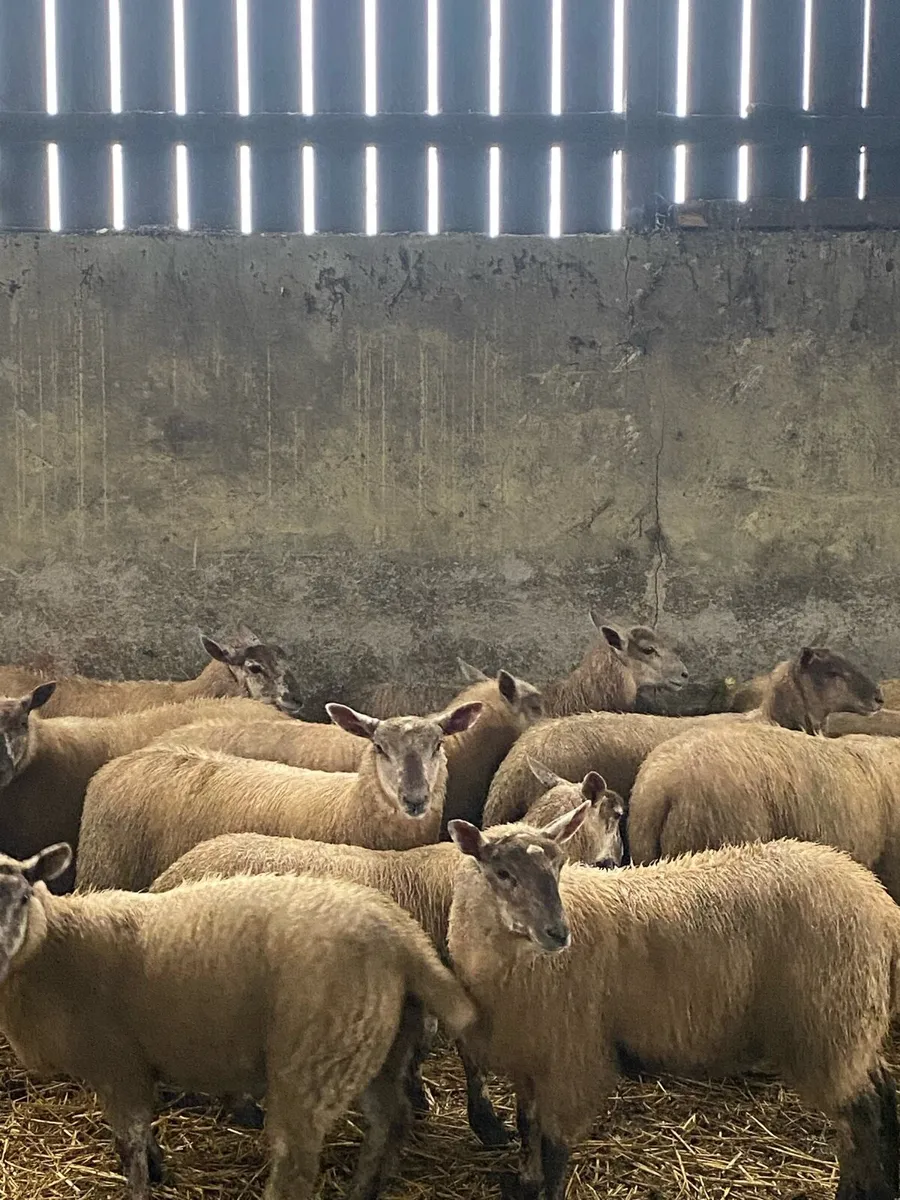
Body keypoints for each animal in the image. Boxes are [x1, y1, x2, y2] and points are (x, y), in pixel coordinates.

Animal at [0, 842, 475, 1200]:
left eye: (23, 897)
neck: (59, 946)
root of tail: (402, 936)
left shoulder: (119, 1064)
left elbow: (129, 1143)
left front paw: (140, 1185)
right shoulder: (130, 1065)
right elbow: (140, 1139)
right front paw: (158, 1168)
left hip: (316, 1054)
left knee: (295, 1161)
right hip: (374, 1045)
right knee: (390, 1119)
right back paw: (366, 1189)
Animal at [76, 700, 484, 893]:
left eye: (438, 745)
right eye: (379, 747)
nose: (415, 799)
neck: (349, 803)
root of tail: (120, 763)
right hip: (104, 867)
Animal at [149, 767, 624, 1147]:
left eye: (556, 866)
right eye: (503, 873)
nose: (558, 933)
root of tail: (170, 875)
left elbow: (420, 1044)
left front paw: (417, 1094)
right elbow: (466, 1057)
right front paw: (487, 1125)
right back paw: (241, 1108)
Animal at [447, 819, 900, 1200]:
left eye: (558, 867)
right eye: (502, 873)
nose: (558, 933)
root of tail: (877, 899)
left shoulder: (570, 1057)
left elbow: (555, 1145)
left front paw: (547, 1188)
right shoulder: (528, 1055)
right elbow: (528, 1126)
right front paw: (526, 1180)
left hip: (828, 1028)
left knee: (858, 1120)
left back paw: (855, 1190)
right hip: (853, 1028)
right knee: (881, 1091)